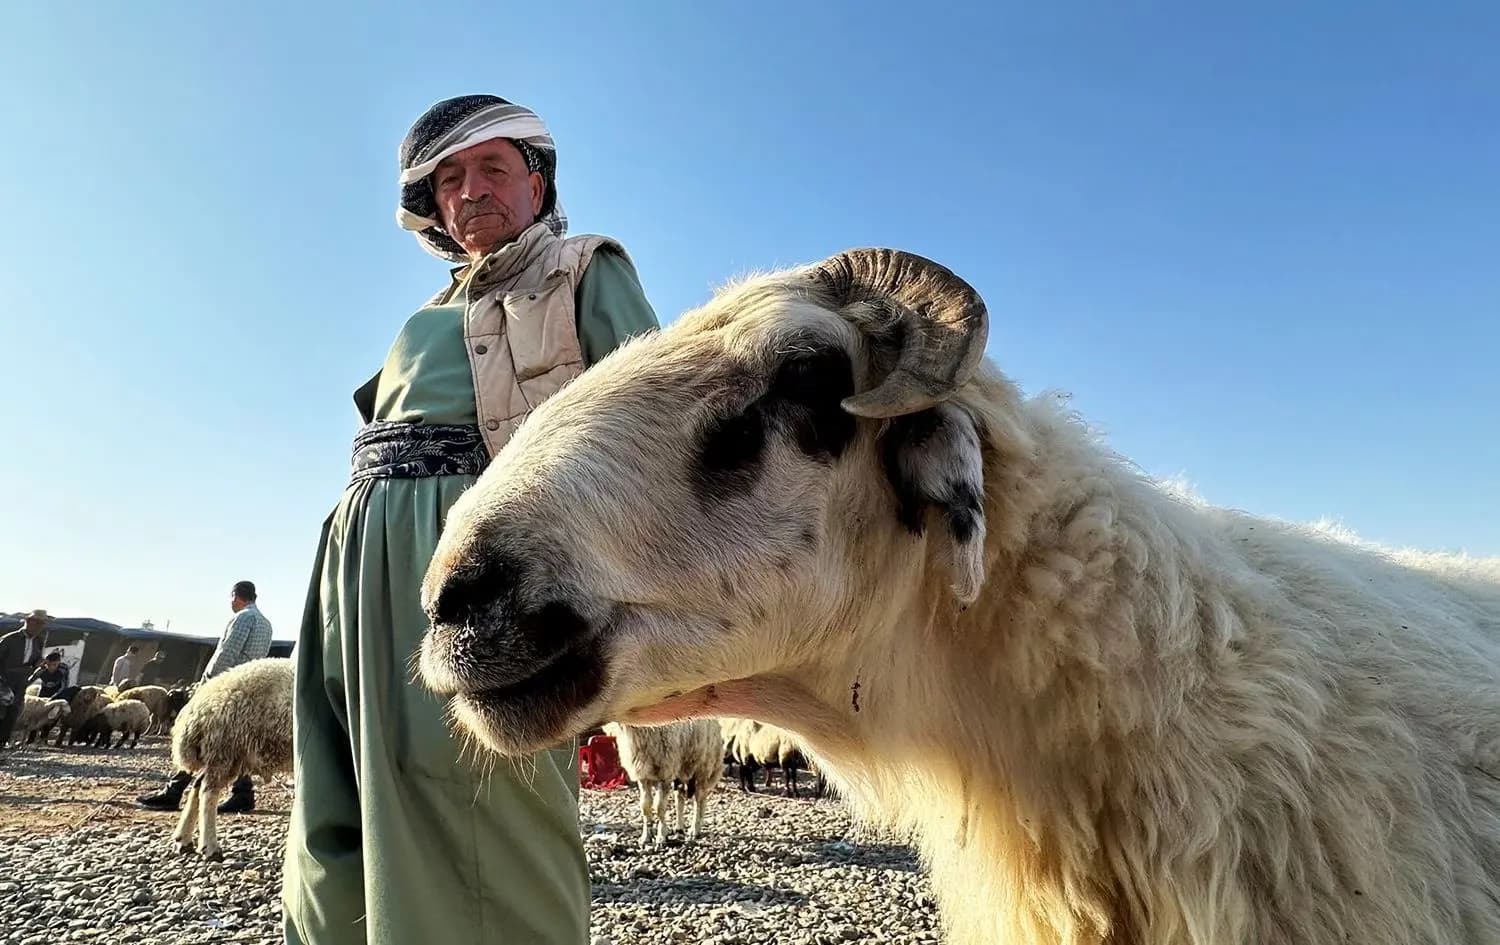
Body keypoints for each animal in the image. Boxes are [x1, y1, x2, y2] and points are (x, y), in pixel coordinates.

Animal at [170, 657, 293, 860]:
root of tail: (197, 706)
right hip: (224, 748)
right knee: (207, 791)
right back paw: (210, 847)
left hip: (229, 756)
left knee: (198, 784)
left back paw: (184, 840)